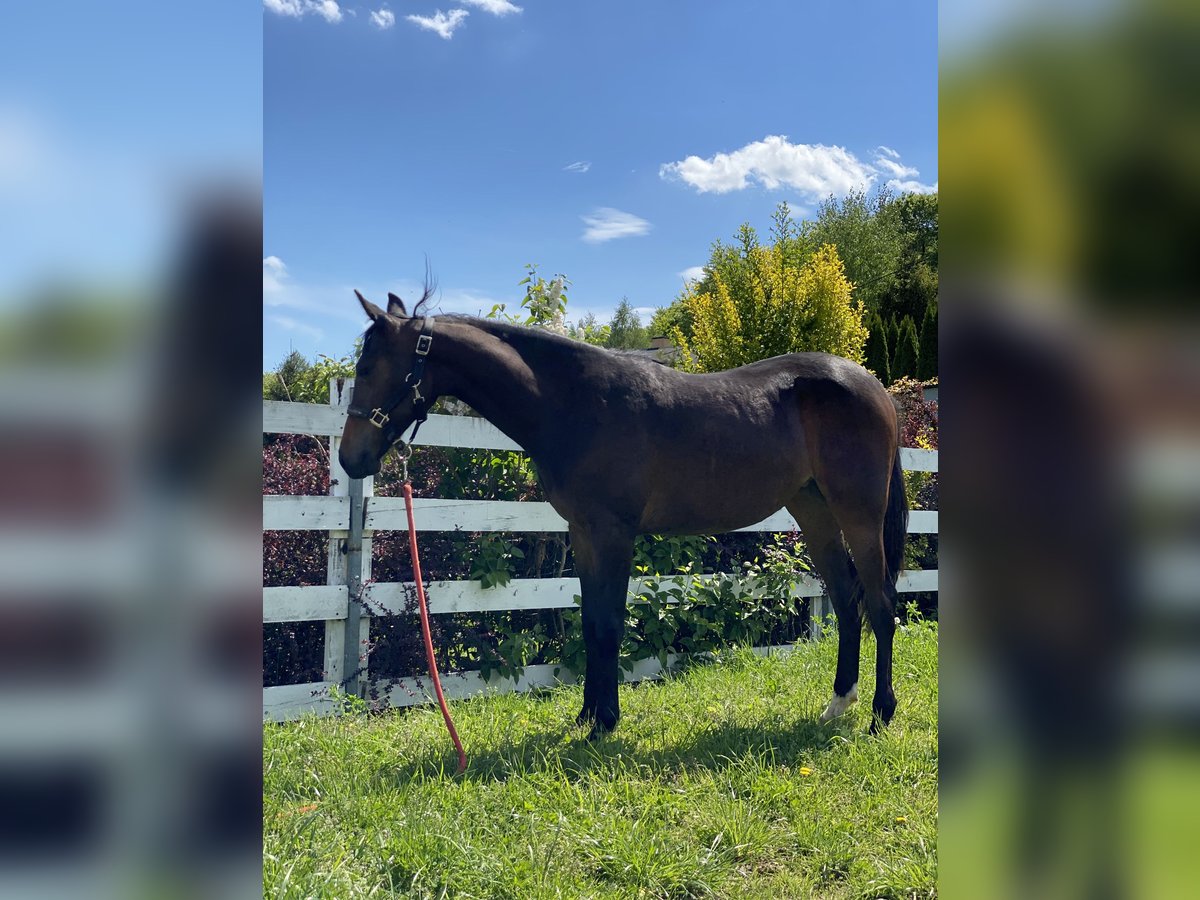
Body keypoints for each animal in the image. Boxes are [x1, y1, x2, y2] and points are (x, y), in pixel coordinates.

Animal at [333, 290, 902, 739]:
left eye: (368, 367)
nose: (350, 458)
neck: (576, 403)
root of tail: (873, 386)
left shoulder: (613, 534)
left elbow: (608, 625)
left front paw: (603, 723)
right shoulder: (584, 533)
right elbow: (589, 624)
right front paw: (587, 716)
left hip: (859, 515)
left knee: (880, 604)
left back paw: (880, 713)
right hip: (814, 511)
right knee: (847, 602)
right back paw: (839, 703)